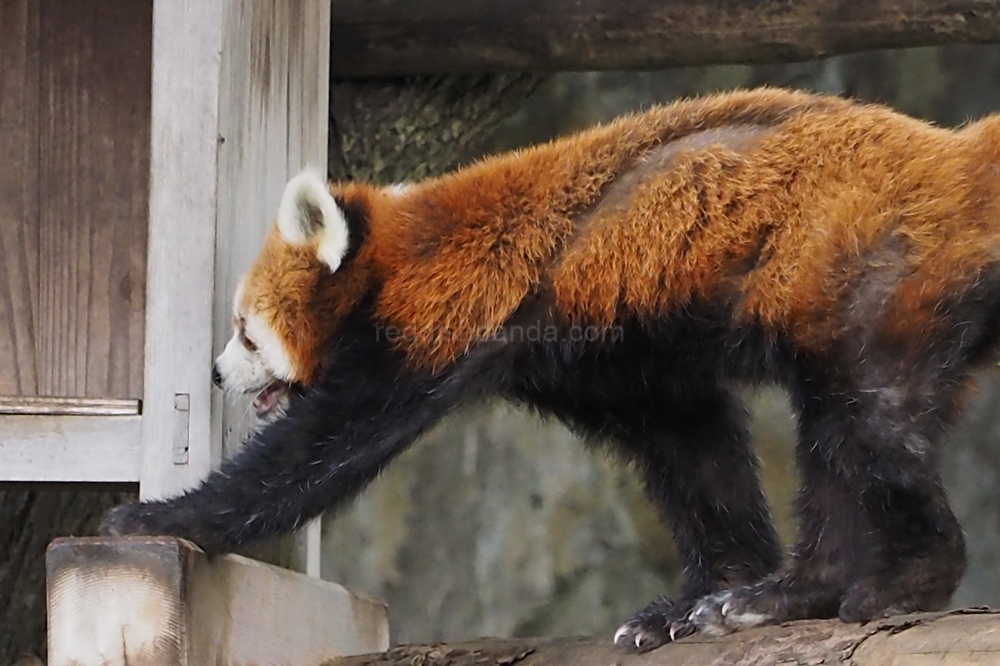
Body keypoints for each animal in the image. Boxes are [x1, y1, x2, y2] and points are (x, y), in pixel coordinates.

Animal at [99, 87, 1000, 648]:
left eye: (245, 334)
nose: (217, 376)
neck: (397, 259)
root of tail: (955, 159)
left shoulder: (445, 318)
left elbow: (323, 452)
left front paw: (158, 517)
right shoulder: (612, 352)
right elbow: (694, 451)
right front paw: (691, 599)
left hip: (868, 279)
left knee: (869, 428)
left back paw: (901, 579)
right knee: (839, 442)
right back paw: (786, 593)